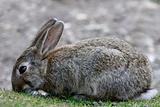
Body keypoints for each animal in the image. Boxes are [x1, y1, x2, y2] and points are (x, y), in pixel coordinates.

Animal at [11, 18, 158, 100]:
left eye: (22, 69)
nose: (15, 88)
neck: (46, 68)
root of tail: (142, 86)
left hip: (102, 79)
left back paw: (81, 96)